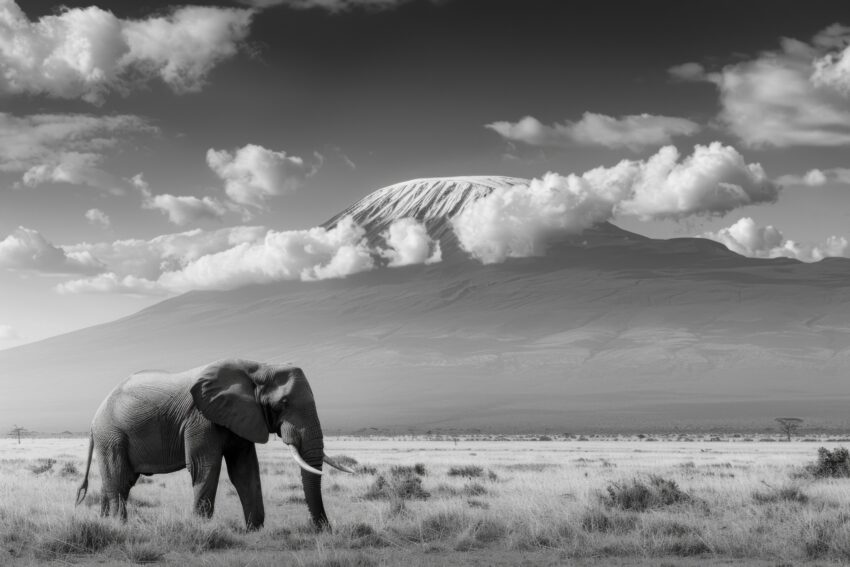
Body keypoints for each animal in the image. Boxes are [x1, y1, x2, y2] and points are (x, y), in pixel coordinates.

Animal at [75, 358, 353, 530]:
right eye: (282, 404)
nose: (324, 529)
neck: (258, 367)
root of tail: (93, 421)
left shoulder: (242, 417)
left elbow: (245, 471)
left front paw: (254, 530)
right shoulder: (201, 418)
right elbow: (204, 467)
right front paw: (200, 527)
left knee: (119, 481)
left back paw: (104, 523)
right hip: (111, 436)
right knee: (120, 480)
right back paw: (119, 525)